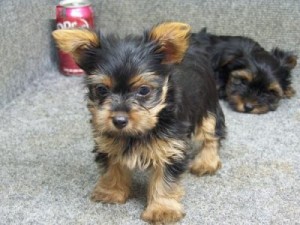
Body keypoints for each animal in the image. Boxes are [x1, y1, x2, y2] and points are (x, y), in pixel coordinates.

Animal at [52, 22, 225, 223]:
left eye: (143, 90)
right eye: (101, 89)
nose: (119, 120)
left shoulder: (170, 147)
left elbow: (165, 180)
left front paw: (162, 209)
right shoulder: (108, 142)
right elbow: (112, 168)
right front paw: (112, 191)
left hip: (208, 106)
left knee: (211, 134)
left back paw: (207, 161)